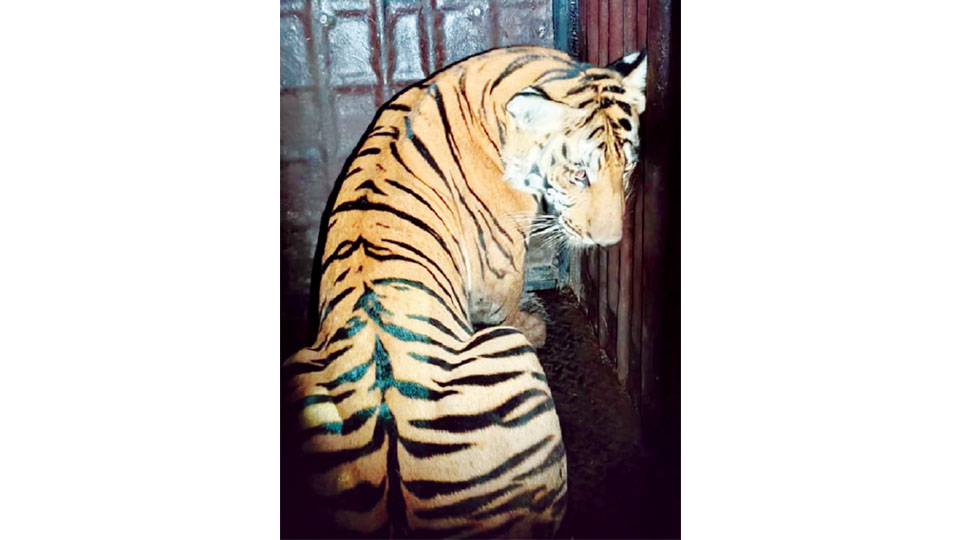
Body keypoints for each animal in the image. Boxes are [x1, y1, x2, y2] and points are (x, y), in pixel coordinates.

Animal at [282, 45, 648, 538]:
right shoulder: (500, 269)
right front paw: (533, 319)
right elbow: (508, 306)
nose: (608, 243)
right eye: (577, 174)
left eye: (627, 167)